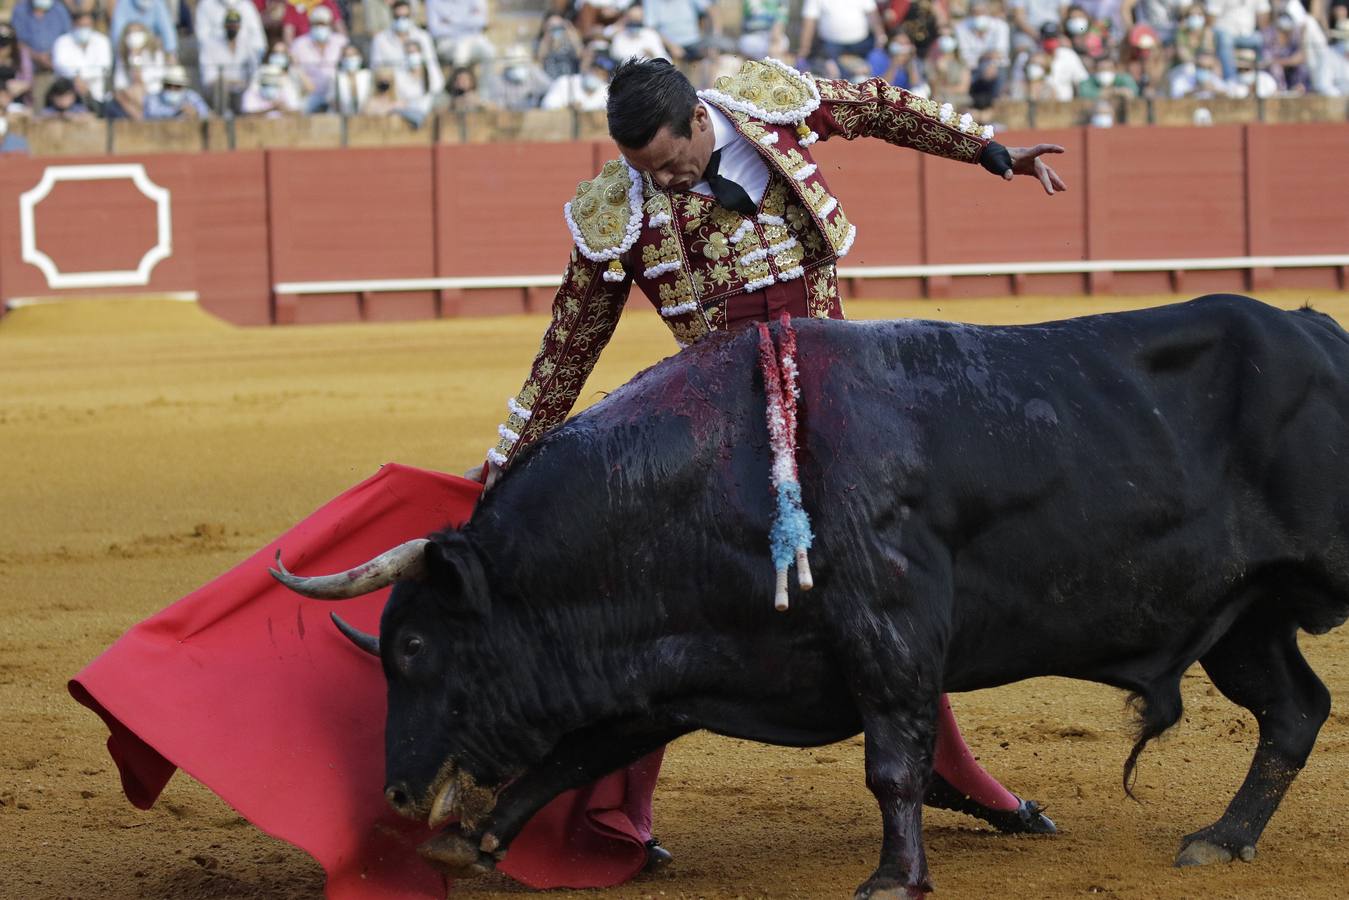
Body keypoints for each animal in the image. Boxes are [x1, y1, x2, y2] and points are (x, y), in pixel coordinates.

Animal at [271, 294, 1349, 895]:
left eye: (414, 648)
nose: (396, 792)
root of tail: (1317, 329)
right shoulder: (679, 667)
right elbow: (573, 755)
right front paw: (473, 844)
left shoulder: (888, 632)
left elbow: (892, 764)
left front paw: (892, 879)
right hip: (1243, 616)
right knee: (1294, 707)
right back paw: (1218, 840)